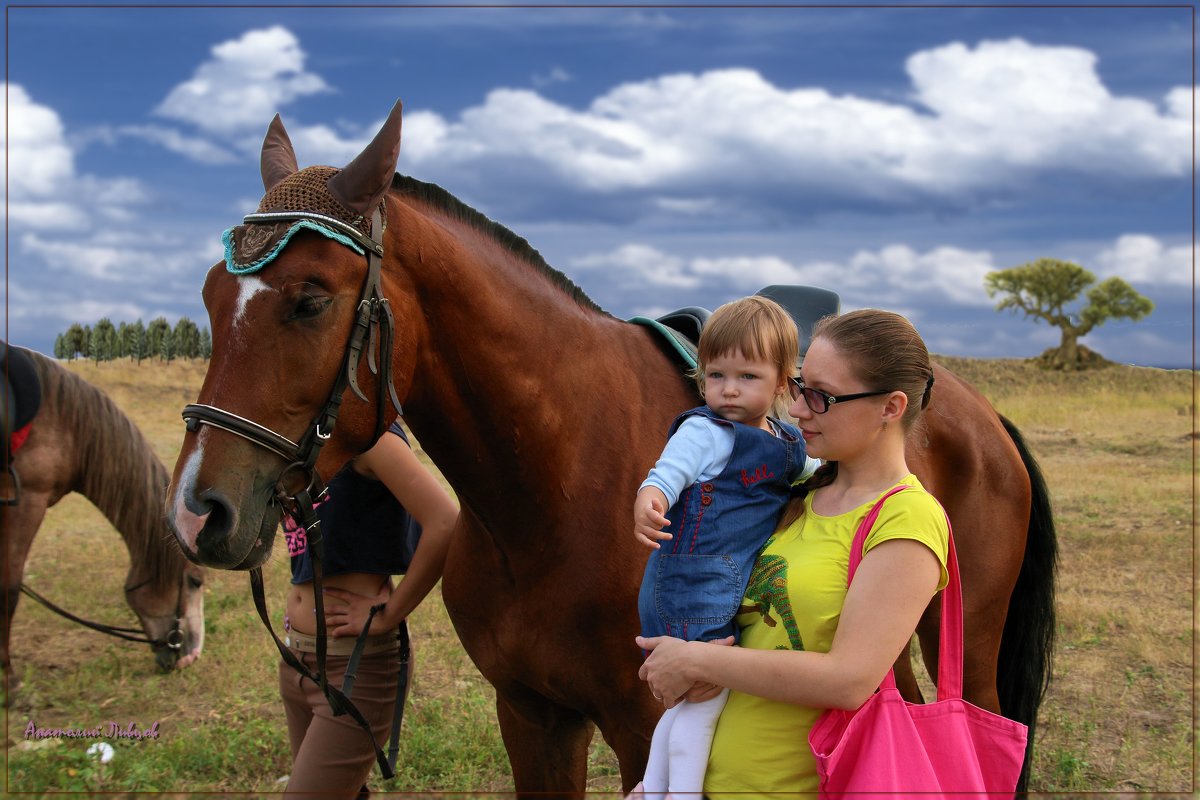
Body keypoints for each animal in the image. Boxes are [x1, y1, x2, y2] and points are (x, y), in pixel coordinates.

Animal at [1, 347, 206, 695]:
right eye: (194, 581)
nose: (191, 656)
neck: (65, 423)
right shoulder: (27, 500)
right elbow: (9, 588)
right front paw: (10, 683)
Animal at [166, 101, 1051, 796]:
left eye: (311, 300)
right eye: (210, 295)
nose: (198, 512)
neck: (551, 490)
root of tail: (976, 411)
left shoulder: (645, 721)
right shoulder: (533, 717)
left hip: (965, 638)